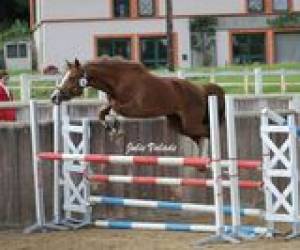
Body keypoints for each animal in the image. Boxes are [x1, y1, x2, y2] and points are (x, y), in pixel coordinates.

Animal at [51, 58, 225, 145]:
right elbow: (102, 112)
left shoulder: (134, 108)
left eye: (72, 77)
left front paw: (116, 128)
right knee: (200, 135)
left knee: (208, 131)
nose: (54, 97)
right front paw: (111, 130)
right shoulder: (113, 102)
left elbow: (115, 109)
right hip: (179, 125)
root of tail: (201, 89)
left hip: (190, 123)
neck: (118, 81)